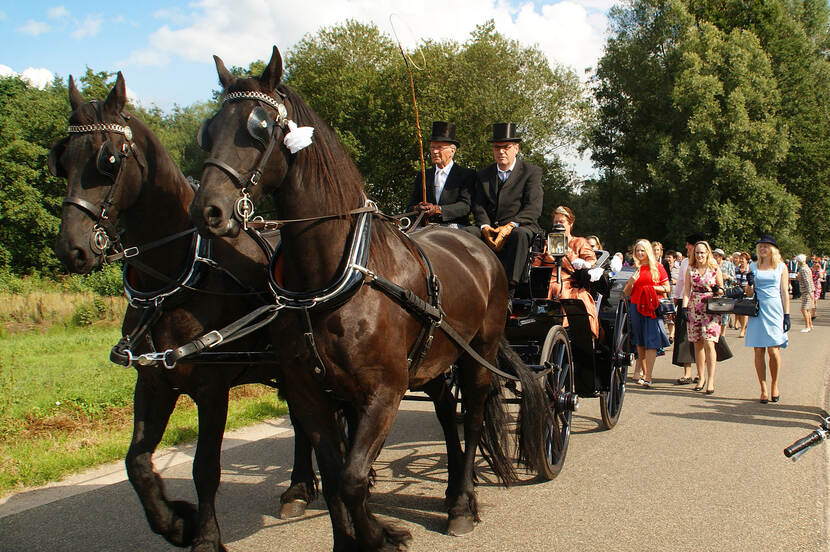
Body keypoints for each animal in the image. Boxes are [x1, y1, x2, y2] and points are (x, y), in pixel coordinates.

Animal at [49, 75, 318, 552]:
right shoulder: (154, 381)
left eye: (109, 159)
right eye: (62, 161)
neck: (175, 282)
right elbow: (136, 462)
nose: (72, 248)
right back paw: (298, 488)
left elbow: (204, 467)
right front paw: (174, 522)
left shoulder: (212, 388)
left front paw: (206, 536)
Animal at [191, 48, 548, 552]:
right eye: (210, 129)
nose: (207, 210)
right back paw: (452, 487)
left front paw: (380, 535)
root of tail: (480, 245)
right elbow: (335, 475)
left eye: (259, 126)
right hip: (434, 359)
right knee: (446, 411)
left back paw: (462, 503)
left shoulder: (384, 391)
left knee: (475, 418)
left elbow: (353, 478)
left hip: (478, 353)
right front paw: (353, 538)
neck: (330, 279)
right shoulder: (308, 391)